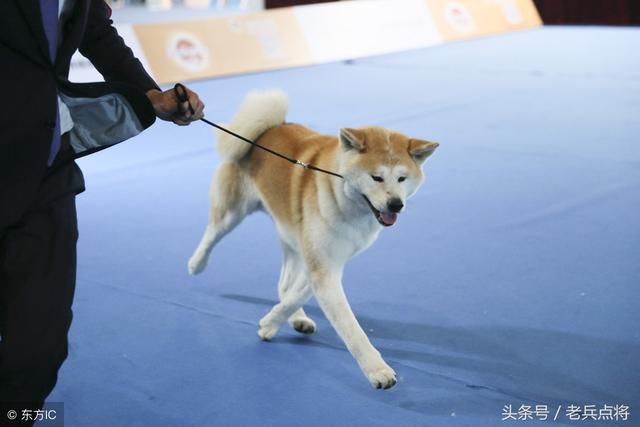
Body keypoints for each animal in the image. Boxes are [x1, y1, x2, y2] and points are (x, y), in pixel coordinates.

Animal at [188, 91, 438, 392]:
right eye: (376, 177)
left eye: (402, 178)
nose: (396, 204)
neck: (344, 199)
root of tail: (270, 127)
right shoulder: (322, 265)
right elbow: (351, 329)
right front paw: (377, 370)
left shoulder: (330, 261)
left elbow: (296, 294)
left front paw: (273, 321)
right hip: (233, 213)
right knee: (212, 233)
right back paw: (196, 264)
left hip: (292, 236)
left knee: (284, 283)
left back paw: (298, 319)